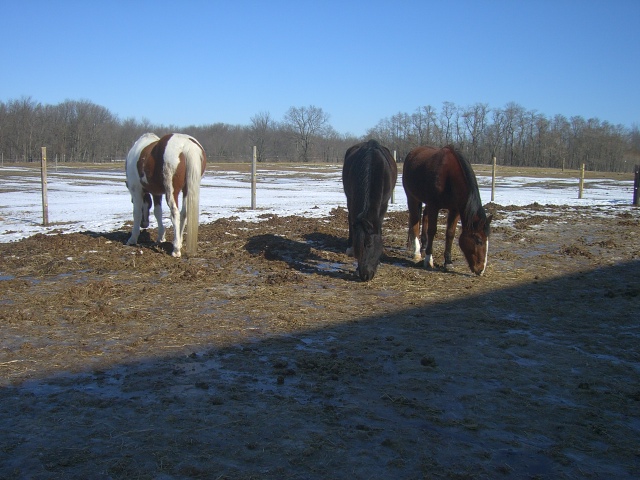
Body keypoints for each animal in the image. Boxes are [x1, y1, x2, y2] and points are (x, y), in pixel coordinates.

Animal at [402, 144, 492, 276]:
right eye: (479, 240)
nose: (481, 270)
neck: (449, 176)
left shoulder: (455, 210)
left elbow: (450, 233)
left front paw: (448, 262)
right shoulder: (434, 206)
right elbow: (432, 231)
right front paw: (429, 260)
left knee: (424, 217)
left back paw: (423, 247)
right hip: (412, 198)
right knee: (415, 222)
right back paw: (417, 252)